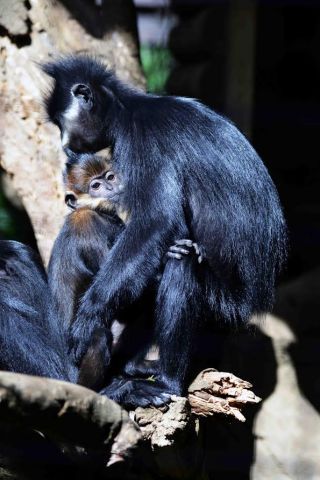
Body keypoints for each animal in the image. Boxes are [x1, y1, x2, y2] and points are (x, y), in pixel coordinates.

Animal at [42, 54, 288, 404]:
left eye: (63, 122)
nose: (64, 141)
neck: (128, 109)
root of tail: (255, 300)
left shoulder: (141, 140)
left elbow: (156, 220)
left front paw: (90, 314)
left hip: (224, 305)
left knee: (182, 263)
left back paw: (167, 382)